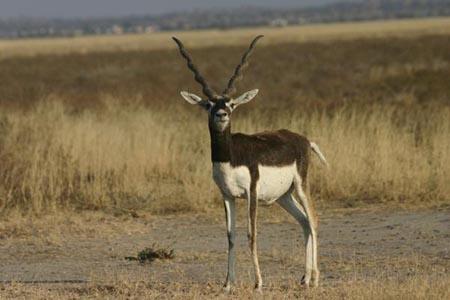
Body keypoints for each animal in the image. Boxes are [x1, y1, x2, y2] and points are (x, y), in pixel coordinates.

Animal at [172, 35, 326, 292]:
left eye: (232, 104)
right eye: (209, 104)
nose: (222, 114)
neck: (230, 157)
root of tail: (304, 139)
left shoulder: (251, 192)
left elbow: (251, 234)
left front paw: (258, 283)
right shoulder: (227, 195)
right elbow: (231, 236)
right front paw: (227, 284)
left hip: (301, 186)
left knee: (313, 219)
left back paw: (314, 279)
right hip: (284, 196)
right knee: (304, 222)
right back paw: (304, 278)